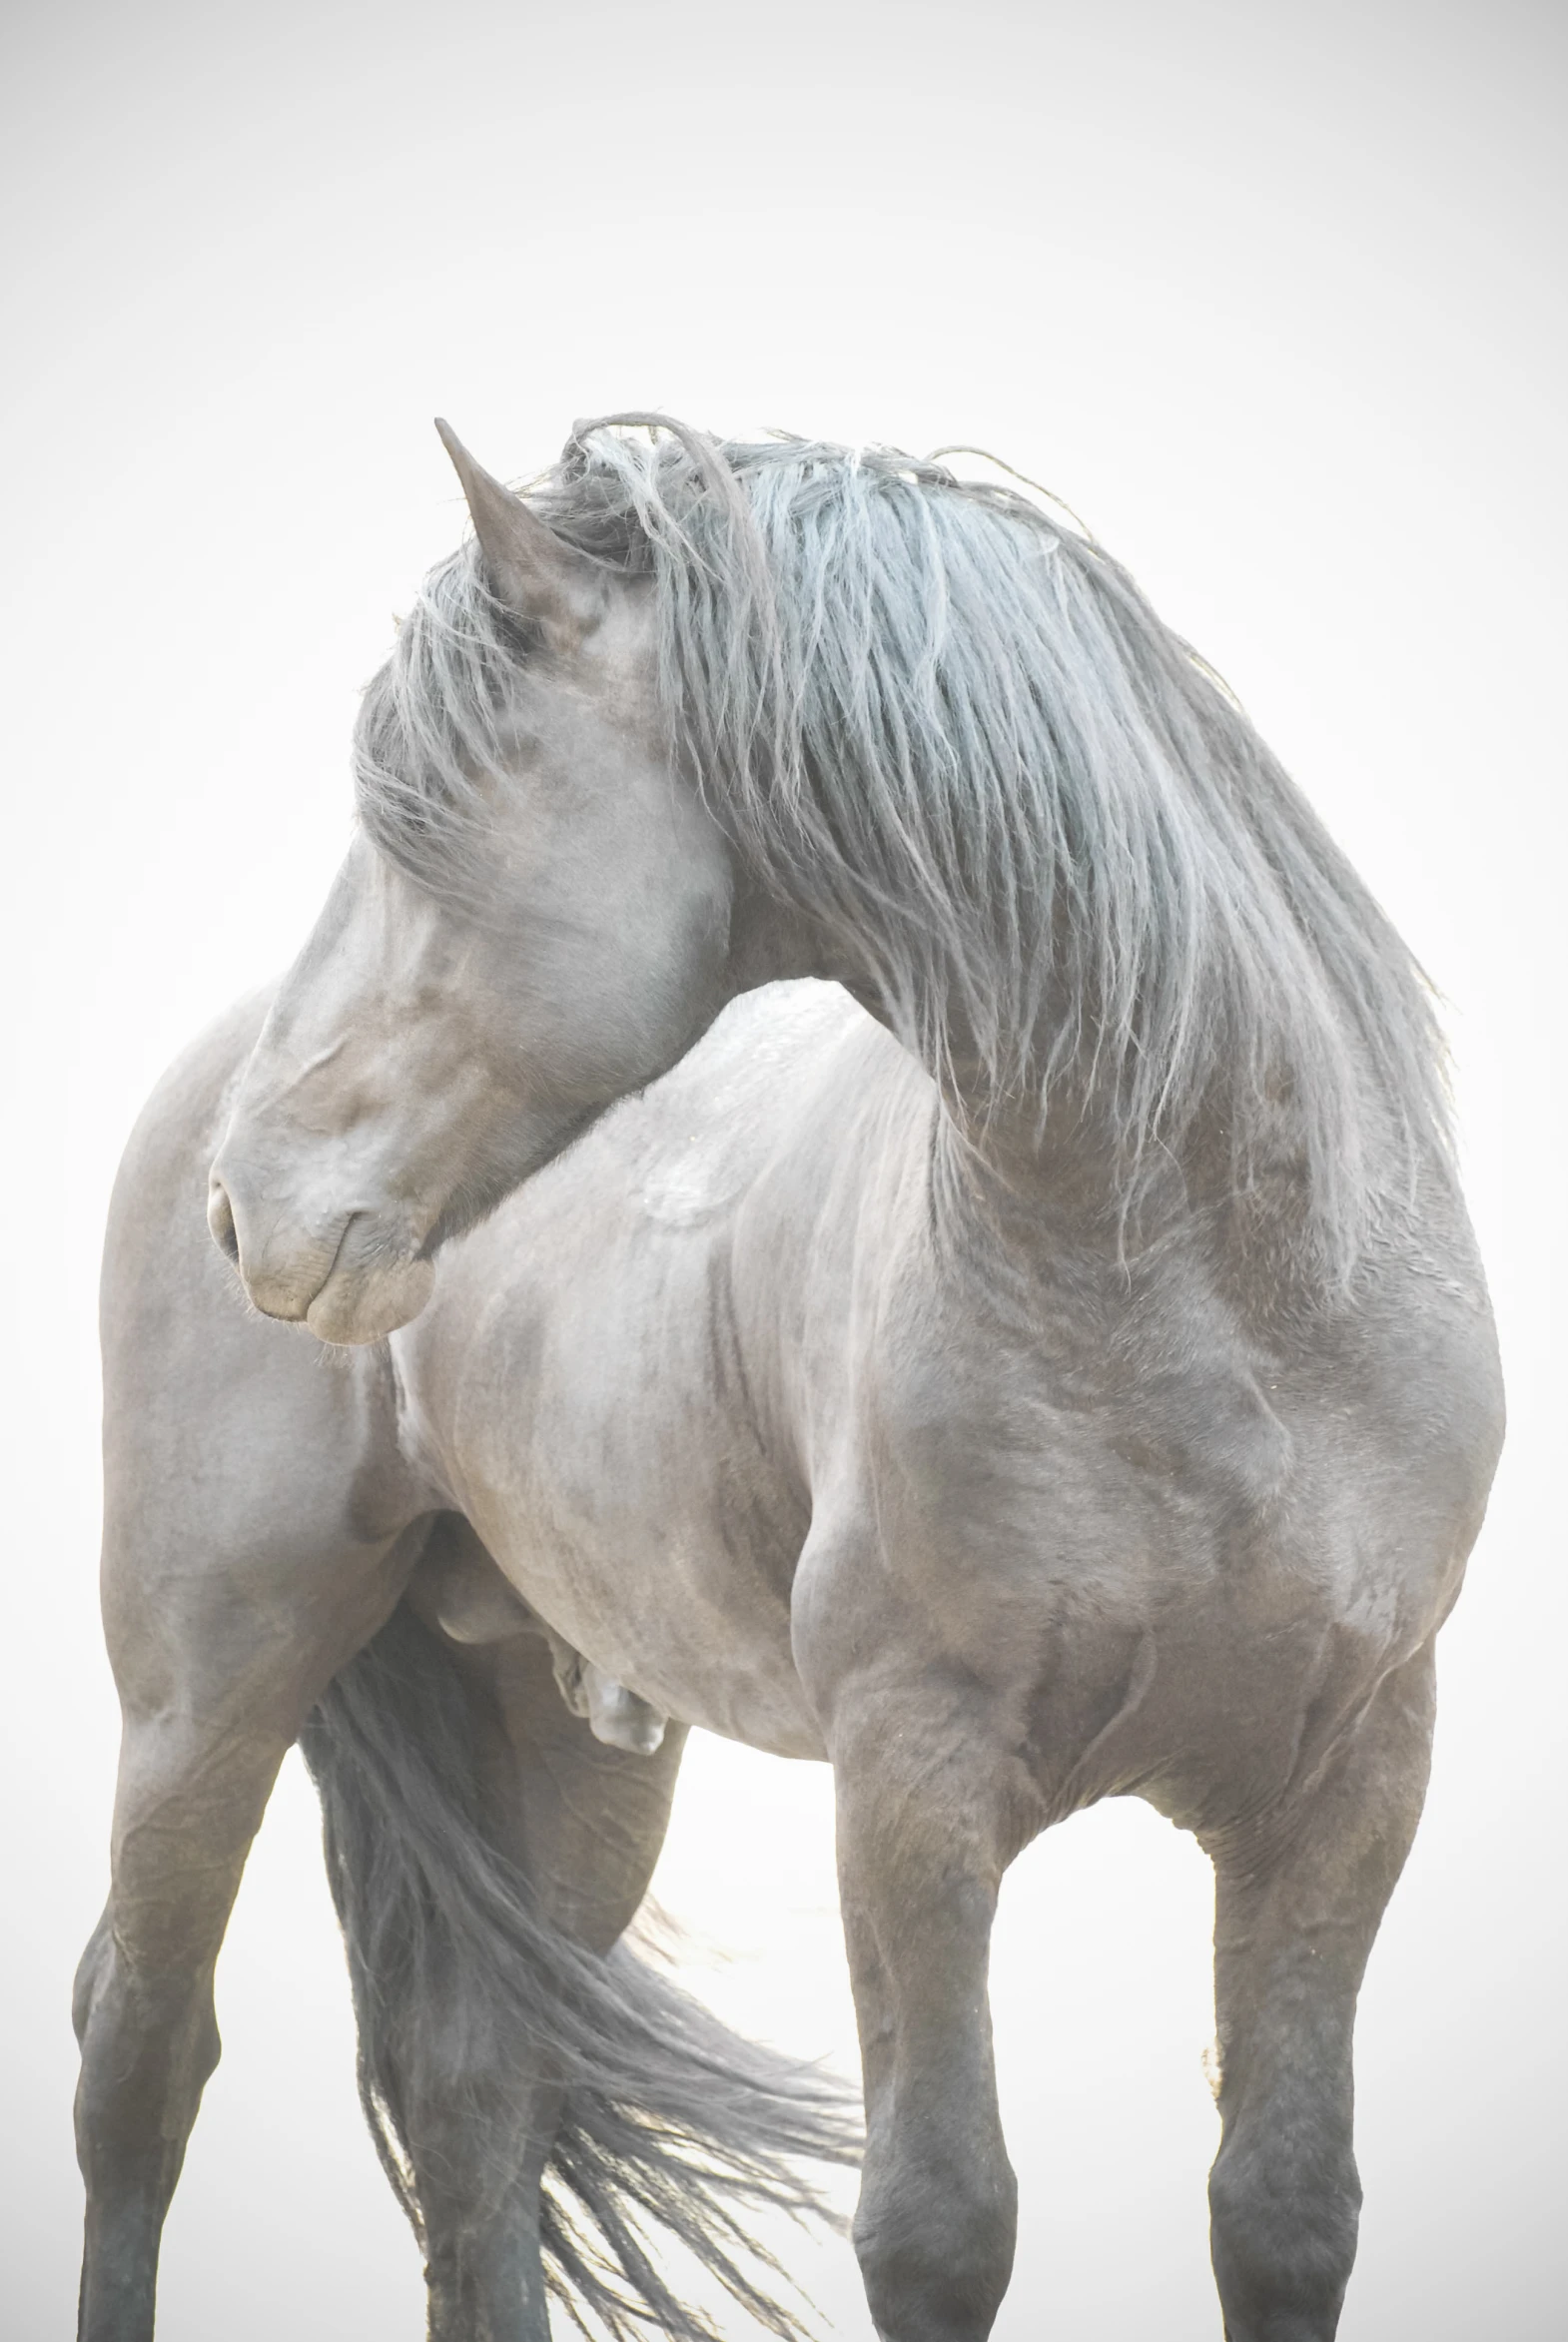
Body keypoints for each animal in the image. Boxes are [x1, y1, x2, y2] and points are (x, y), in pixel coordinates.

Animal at [76, 421, 1507, 2342]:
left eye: (417, 817)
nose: (256, 1206)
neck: (1229, 1299)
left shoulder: (1351, 1784)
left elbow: (1283, 2211)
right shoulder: (911, 1778)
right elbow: (939, 2223)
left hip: (560, 1727)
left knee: (476, 2089)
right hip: (205, 1684)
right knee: (140, 2067)